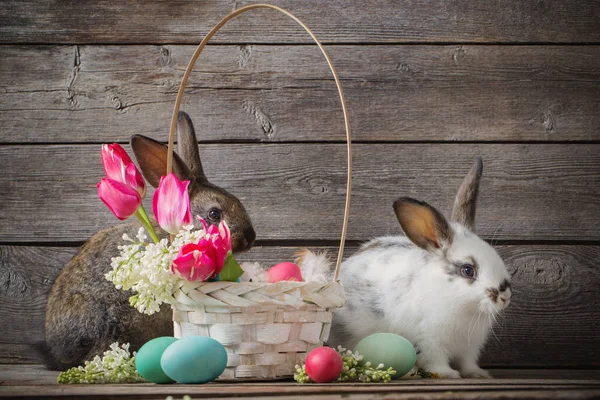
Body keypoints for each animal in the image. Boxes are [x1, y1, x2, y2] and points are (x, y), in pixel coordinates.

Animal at [326, 159, 512, 378]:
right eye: (468, 270)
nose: (505, 296)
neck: (462, 305)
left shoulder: (469, 346)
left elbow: (467, 363)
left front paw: (478, 374)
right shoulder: (429, 340)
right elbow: (435, 361)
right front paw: (448, 374)